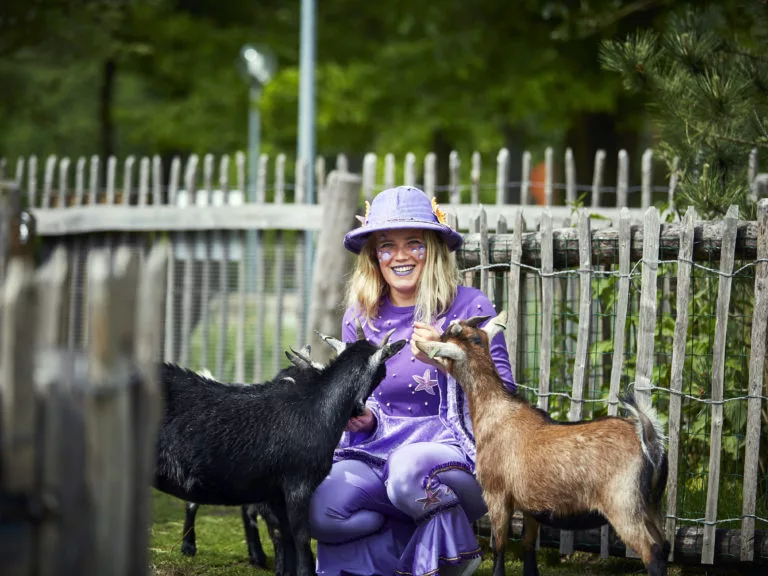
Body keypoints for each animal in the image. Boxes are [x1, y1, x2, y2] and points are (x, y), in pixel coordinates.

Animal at [153, 324, 404, 576]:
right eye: (383, 372)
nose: (358, 410)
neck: (315, 407)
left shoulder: (273, 491)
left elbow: (281, 533)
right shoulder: (297, 484)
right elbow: (300, 535)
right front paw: (304, 571)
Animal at [416, 310, 668, 576]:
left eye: (444, 340)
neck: (497, 414)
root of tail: (648, 438)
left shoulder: (497, 494)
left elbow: (499, 545)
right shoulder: (531, 505)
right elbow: (527, 544)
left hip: (624, 504)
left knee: (651, 550)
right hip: (652, 504)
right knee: (664, 546)